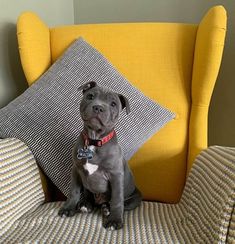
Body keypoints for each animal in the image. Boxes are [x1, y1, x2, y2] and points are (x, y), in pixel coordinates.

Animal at [58, 81, 141, 230]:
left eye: (113, 104)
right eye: (90, 96)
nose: (98, 107)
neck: (94, 140)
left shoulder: (115, 176)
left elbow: (117, 199)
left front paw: (114, 220)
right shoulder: (76, 170)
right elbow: (74, 191)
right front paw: (68, 208)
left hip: (135, 198)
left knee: (121, 203)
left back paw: (106, 209)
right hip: (88, 187)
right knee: (87, 195)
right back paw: (86, 204)